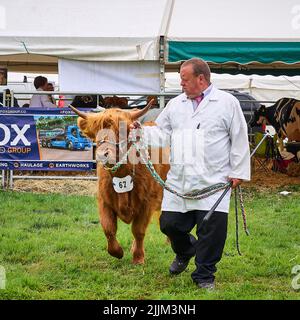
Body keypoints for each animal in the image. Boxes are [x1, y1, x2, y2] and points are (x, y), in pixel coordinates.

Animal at [69, 101, 170, 264]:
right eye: (96, 132)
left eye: (121, 131)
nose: (102, 155)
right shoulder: (104, 199)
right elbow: (108, 228)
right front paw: (117, 252)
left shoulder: (147, 202)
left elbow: (138, 230)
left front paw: (138, 257)